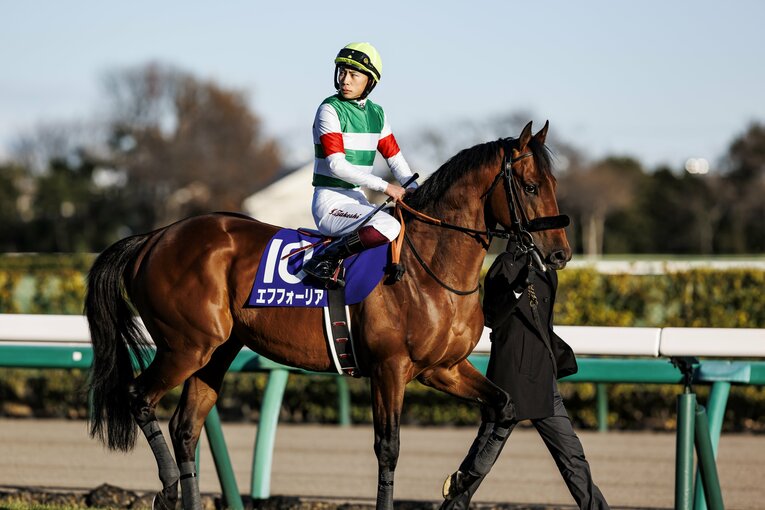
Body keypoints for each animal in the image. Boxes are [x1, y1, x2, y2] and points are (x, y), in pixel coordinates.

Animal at [85, 120, 571, 510]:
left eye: (553, 184)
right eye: (530, 187)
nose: (560, 253)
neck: (430, 270)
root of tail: (154, 237)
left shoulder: (443, 368)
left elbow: (504, 408)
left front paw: (459, 486)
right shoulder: (390, 368)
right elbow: (389, 448)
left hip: (216, 351)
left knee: (186, 427)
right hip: (185, 347)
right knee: (138, 396)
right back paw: (167, 488)